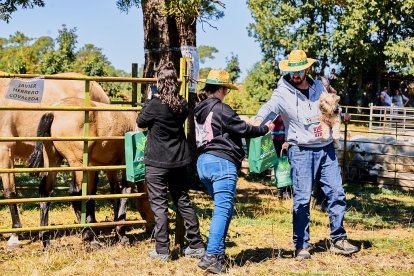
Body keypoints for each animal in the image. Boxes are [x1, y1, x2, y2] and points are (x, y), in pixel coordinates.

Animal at [26, 97, 154, 248]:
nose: (153, 230)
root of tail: (53, 113)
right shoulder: (125, 168)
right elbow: (124, 194)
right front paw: (121, 234)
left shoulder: (108, 168)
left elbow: (112, 194)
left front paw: (116, 233)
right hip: (77, 164)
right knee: (76, 193)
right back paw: (89, 235)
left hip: (53, 161)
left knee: (45, 192)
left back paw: (46, 239)